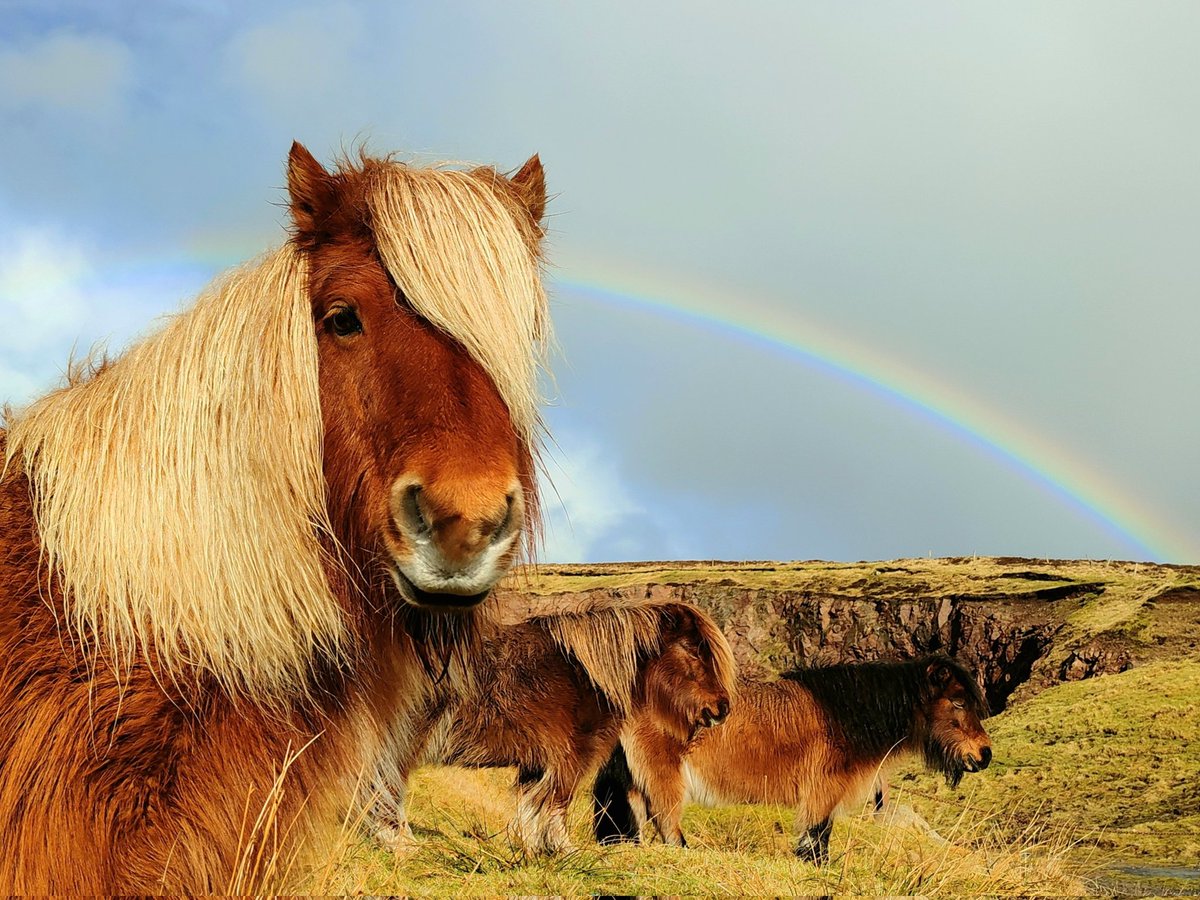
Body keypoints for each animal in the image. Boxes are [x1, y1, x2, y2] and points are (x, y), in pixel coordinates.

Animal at [368, 598, 737, 855]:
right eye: (692, 650)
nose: (722, 708)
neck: (590, 677)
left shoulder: (537, 764)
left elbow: (531, 806)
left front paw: (531, 848)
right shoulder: (572, 756)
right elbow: (558, 804)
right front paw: (562, 849)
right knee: (386, 789)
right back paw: (401, 843)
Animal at [593, 654, 991, 863]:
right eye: (958, 701)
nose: (984, 754)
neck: (845, 712)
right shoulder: (824, 788)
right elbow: (817, 835)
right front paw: (815, 865)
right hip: (663, 774)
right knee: (665, 819)